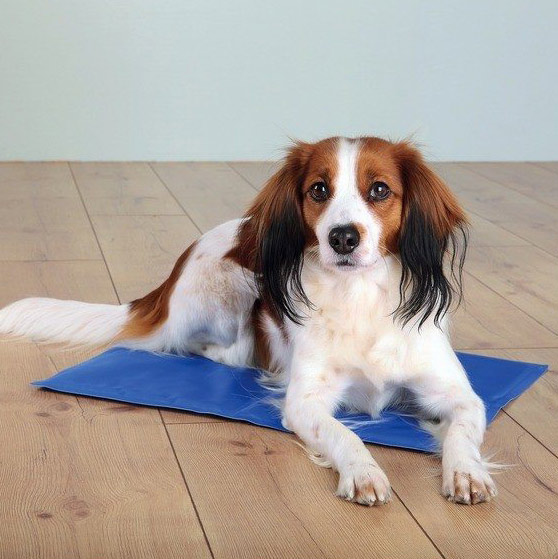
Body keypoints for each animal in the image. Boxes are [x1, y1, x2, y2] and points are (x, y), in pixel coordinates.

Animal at [0, 137, 498, 508]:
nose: (342, 237)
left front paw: (467, 472)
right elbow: (342, 434)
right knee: (218, 349)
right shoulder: (305, 401)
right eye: (319, 190)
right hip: (235, 286)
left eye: (379, 190)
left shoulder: (458, 394)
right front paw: (364, 472)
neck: (359, 298)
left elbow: (462, 431)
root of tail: (172, 279)